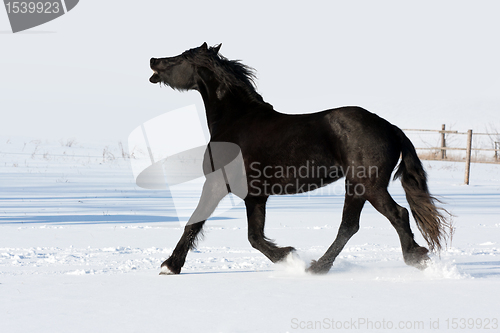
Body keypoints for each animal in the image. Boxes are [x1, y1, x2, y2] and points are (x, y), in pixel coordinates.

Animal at [148, 42, 450, 274]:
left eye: (181, 57)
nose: (153, 61)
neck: (236, 121)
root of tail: (389, 127)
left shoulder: (216, 184)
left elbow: (194, 223)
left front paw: (170, 266)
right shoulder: (255, 195)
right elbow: (254, 237)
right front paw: (287, 255)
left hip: (365, 186)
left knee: (382, 218)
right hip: (360, 187)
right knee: (357, 224)